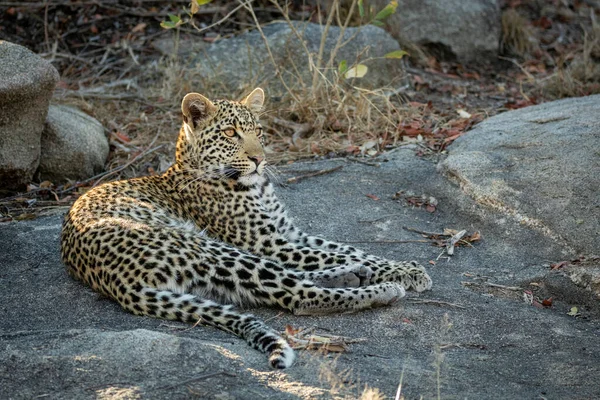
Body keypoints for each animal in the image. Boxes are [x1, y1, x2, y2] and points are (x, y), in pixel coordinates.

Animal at [62, 87, 432, 368]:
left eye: (259, 132)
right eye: (230, 133)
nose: (259, 159)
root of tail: (117, 282)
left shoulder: (289, 234)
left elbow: (344, 248)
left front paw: (403, 267)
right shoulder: (267, 242)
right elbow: (332, 255)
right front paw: (405, 274)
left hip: (209, 271)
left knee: (288, 281)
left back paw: (355, 274)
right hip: (209, 248)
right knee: (297, 295)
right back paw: (382, 290)